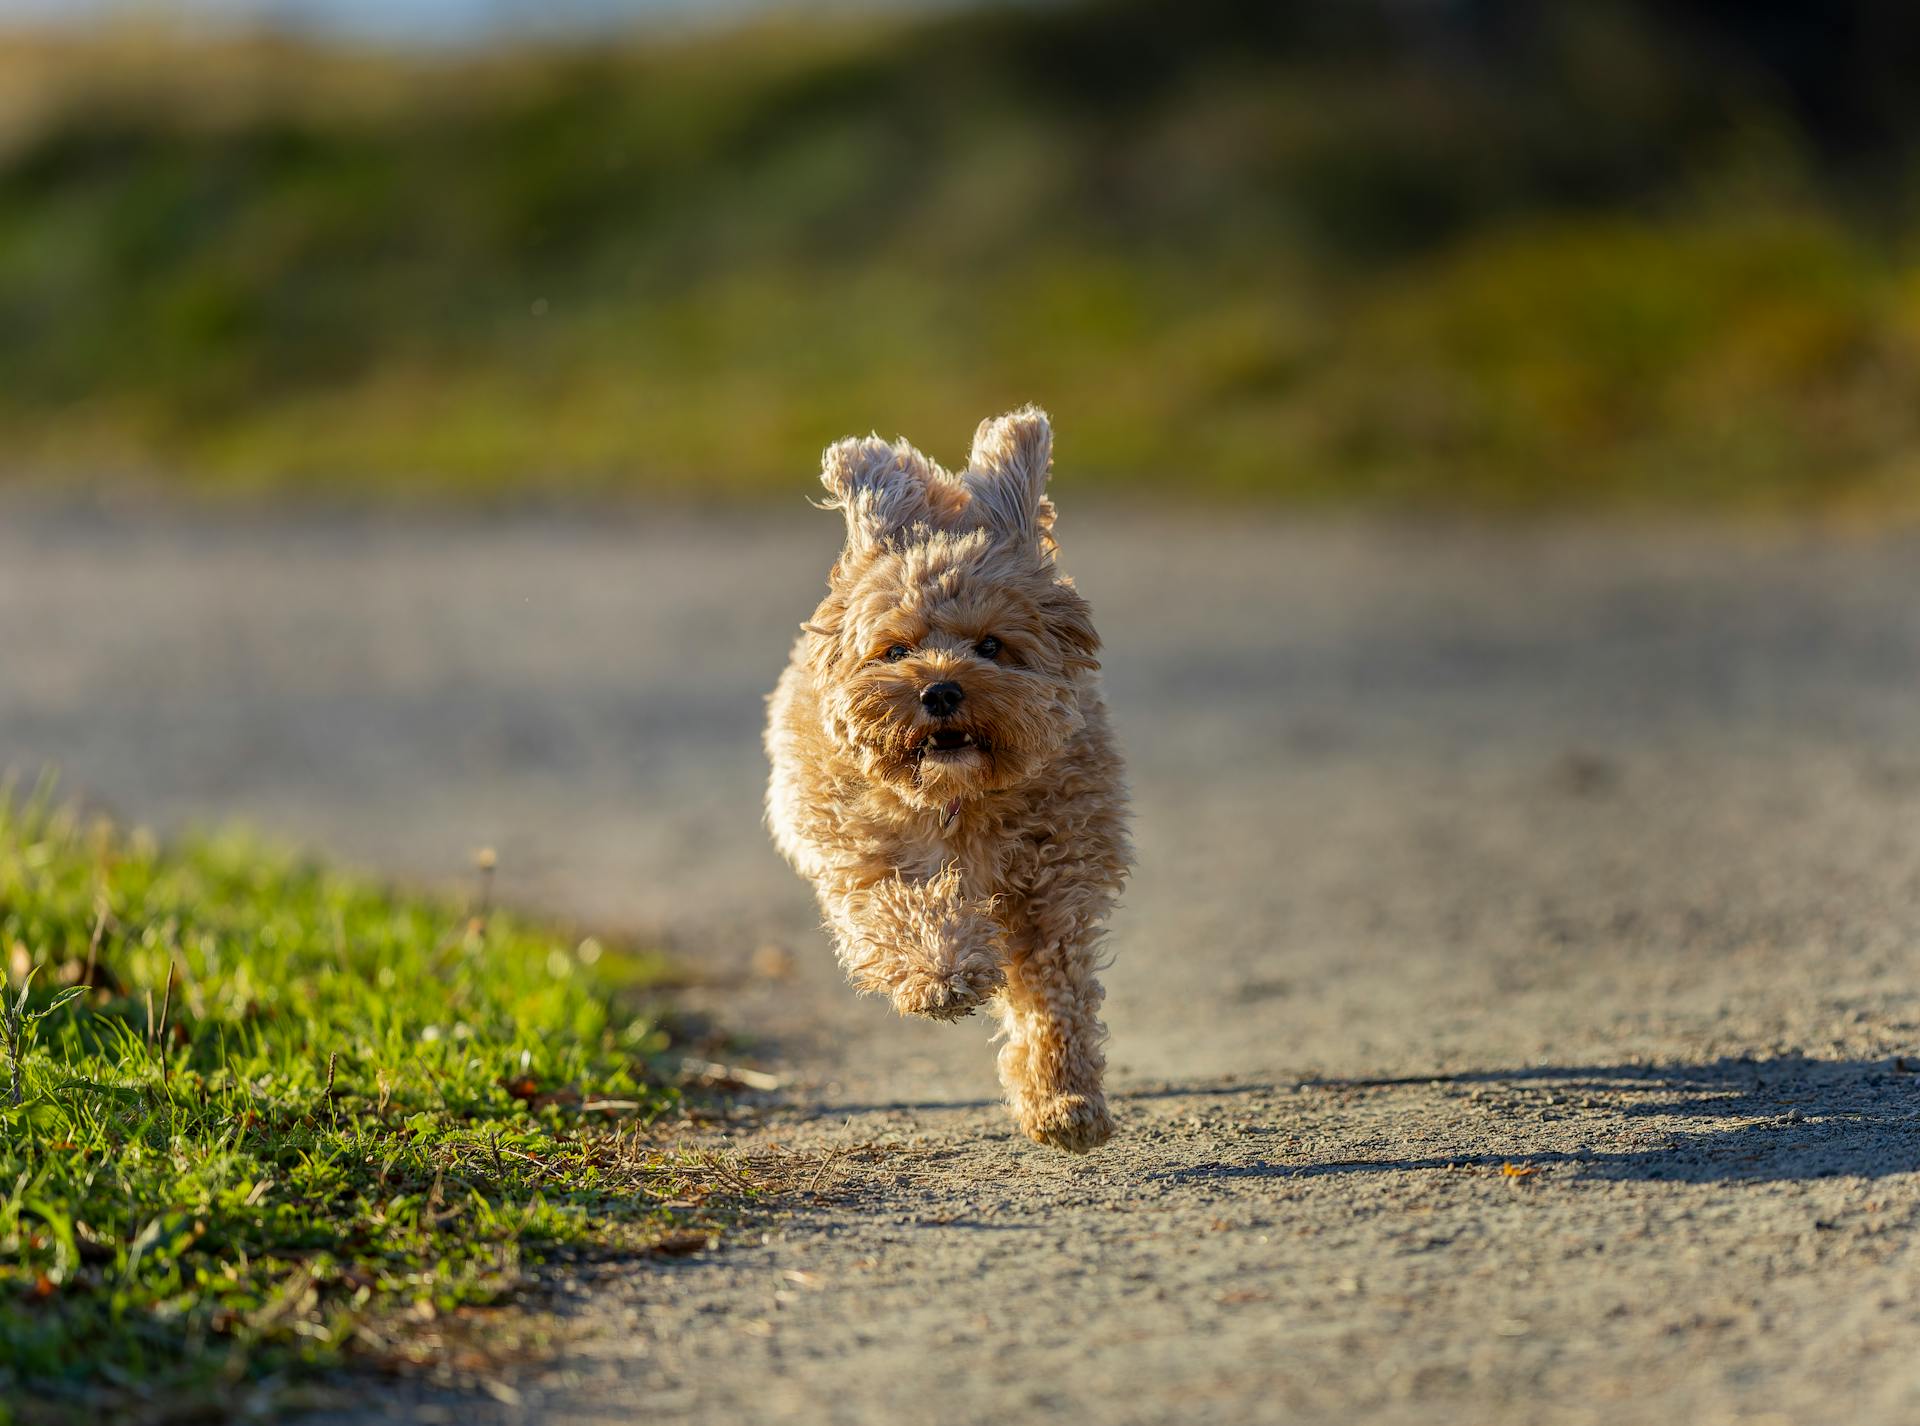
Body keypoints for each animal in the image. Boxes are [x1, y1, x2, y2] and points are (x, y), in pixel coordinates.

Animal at [764, 406, 1121, 1151]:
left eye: (991, 645)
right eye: (896, 650)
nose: (939, 691)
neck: (956, 799)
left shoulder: (1054, 889)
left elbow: (1054, 999)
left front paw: (1064, 1100)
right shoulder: (866, 860)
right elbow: (907, 910)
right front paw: (944, 973)